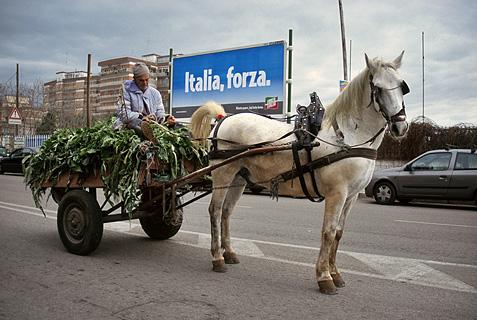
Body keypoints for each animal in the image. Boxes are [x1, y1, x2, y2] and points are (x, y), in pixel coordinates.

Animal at [190, 52, 410, 296]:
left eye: (402, 86)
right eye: (378, 88)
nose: (401, 127)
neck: (348, 136)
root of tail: (223, 118)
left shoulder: (351, 196)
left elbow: (339, 233)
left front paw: (335, 273)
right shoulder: (337, 193)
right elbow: (328, 232)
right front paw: (324, 277)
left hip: (239, 178)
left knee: (227, 212)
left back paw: (228, 253)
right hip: (223, 174)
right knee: (216, 211)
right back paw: (217, 258)